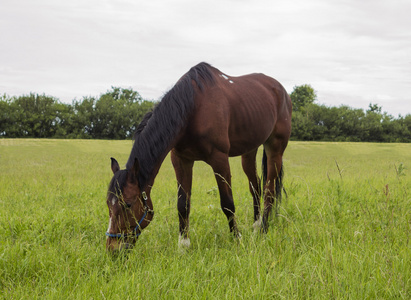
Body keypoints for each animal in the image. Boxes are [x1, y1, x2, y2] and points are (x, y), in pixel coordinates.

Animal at [106, 62, 292, 251]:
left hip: (275, 148)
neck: (193, 109)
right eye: (108, 203)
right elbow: (183, 204)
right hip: (249, 151)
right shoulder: (181, 160)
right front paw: (183, 245)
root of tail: (280, 90)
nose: (113, 248)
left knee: (269, 190)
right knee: (256, 187)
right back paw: (255, 226)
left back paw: (263, 230)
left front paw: (237, 239)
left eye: (127, 204)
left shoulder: (219, 159)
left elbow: (227, 203)